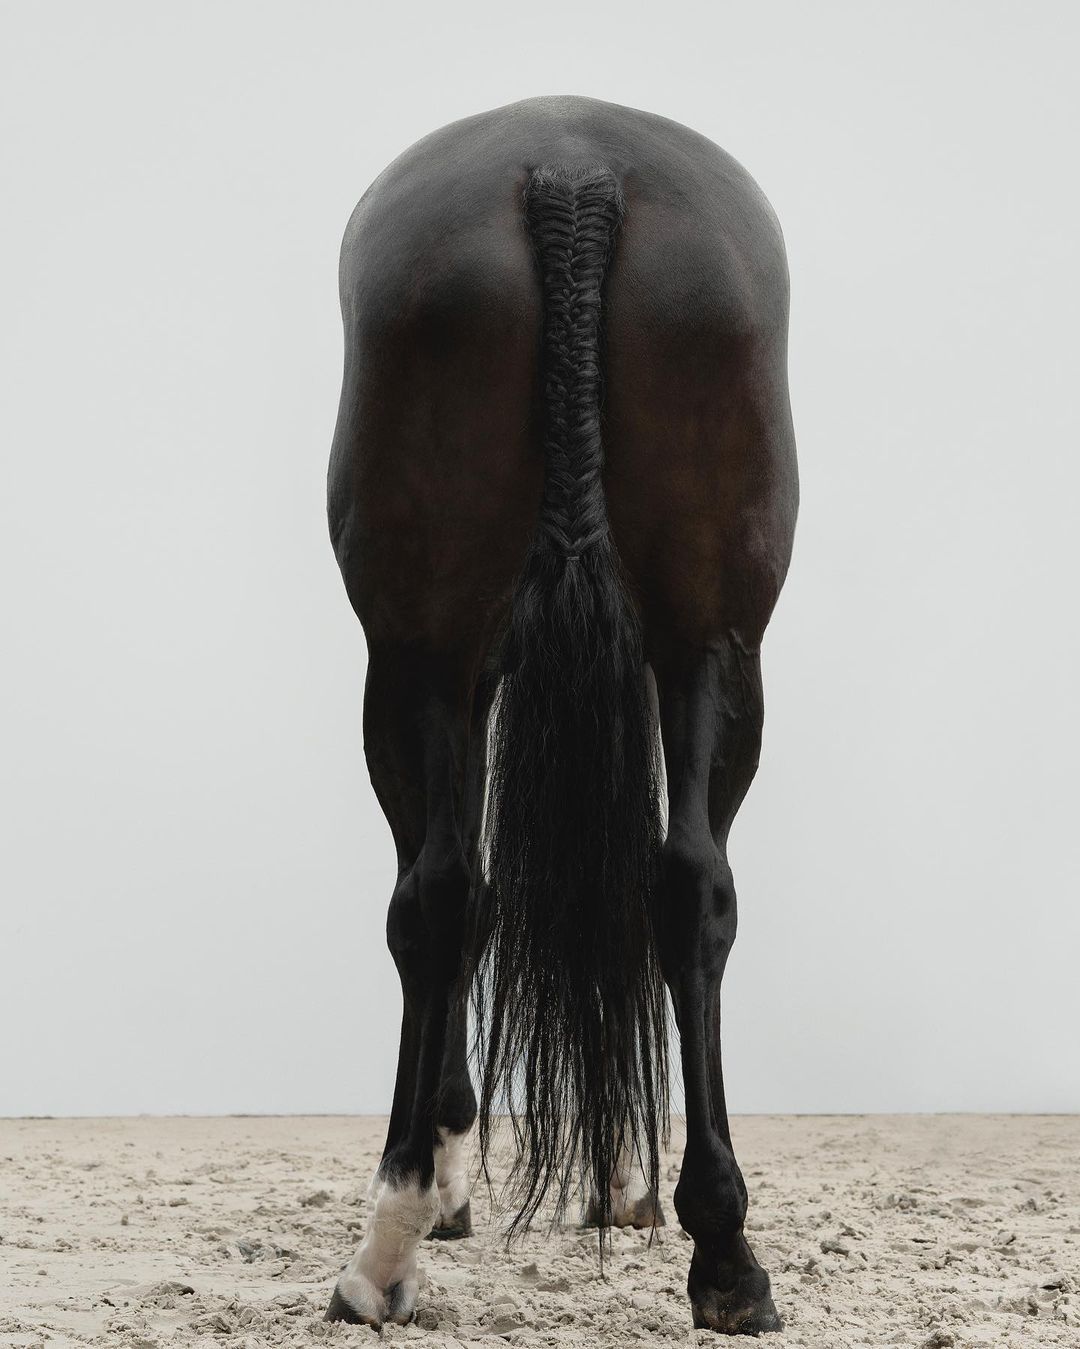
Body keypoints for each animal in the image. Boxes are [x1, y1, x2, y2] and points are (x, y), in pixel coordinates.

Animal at [323, 94, 798, 1336]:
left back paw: (387, 1244)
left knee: (442, 896)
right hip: (712, 641)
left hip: (415, 655)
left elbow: (465, 892)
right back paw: (725, 1254)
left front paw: (448, 1176)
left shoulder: (450, 668)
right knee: (688, 887)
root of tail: (574, 167)